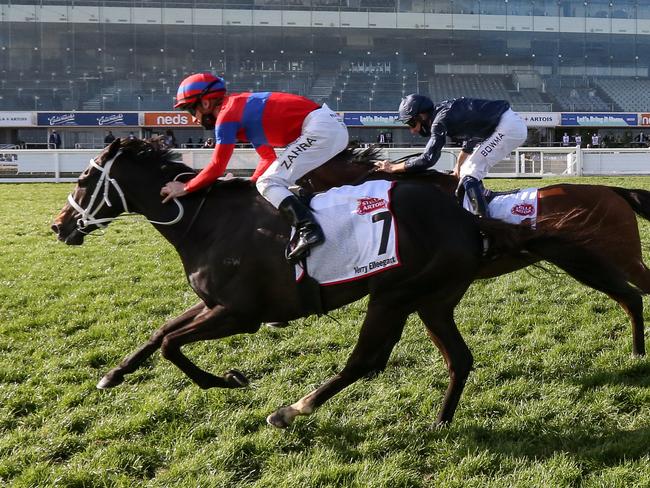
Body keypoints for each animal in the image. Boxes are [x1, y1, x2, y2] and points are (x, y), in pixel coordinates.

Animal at [298, 147, 648, 356]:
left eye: (301, 182)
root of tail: (614, 191)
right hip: (587, 262)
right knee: (630, 298)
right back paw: (636, 351)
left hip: (623, 258)